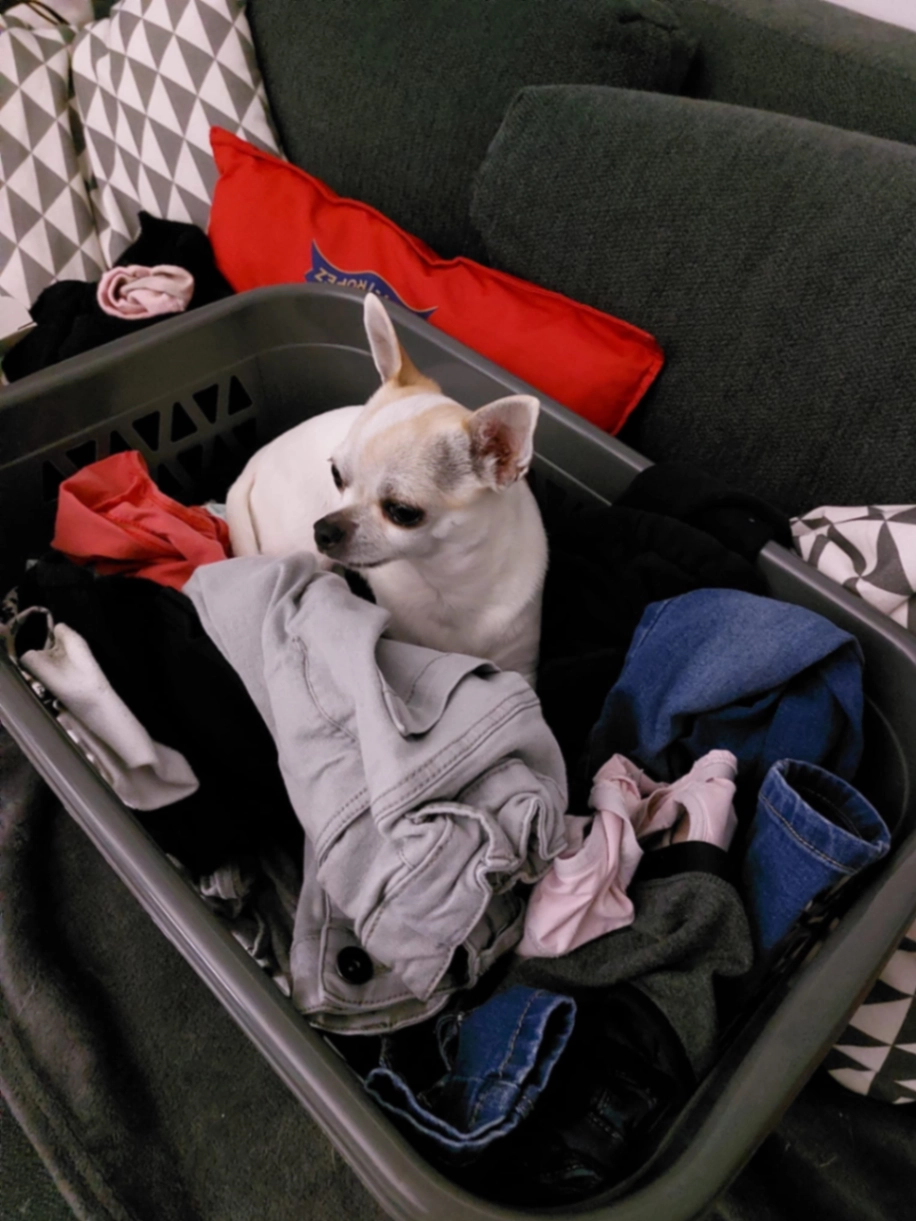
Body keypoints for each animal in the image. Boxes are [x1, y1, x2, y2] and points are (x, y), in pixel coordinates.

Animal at [226, 293, 547, 685]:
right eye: (336, 476)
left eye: (403, 512)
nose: (323, 529)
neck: (446, 585)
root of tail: (257, 459)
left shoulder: (521, 668)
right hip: (300, 552)